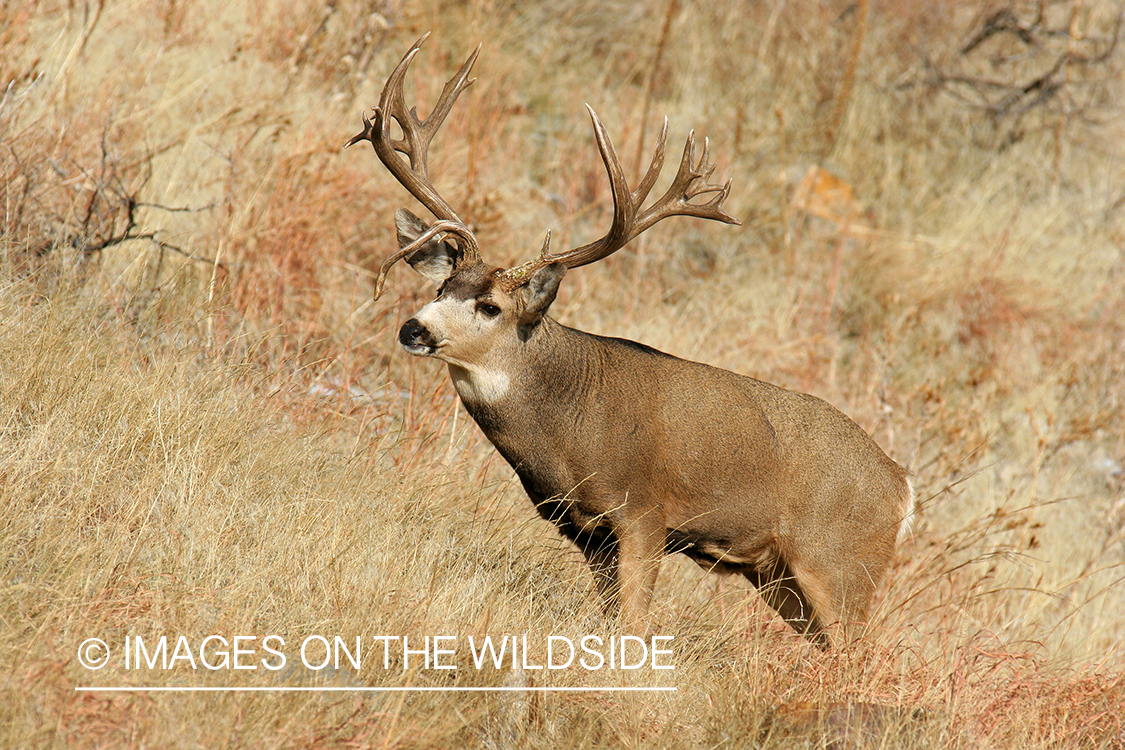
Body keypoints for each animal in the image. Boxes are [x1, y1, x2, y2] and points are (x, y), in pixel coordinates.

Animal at [347, 35, 916, 647]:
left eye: (491, 306)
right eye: (443, 285)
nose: (414, 328)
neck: (566, 430)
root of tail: (903, 488)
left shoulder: (644, 513)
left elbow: (634, 623)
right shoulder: (587, 532)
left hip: (840, 565)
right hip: (781, 576)